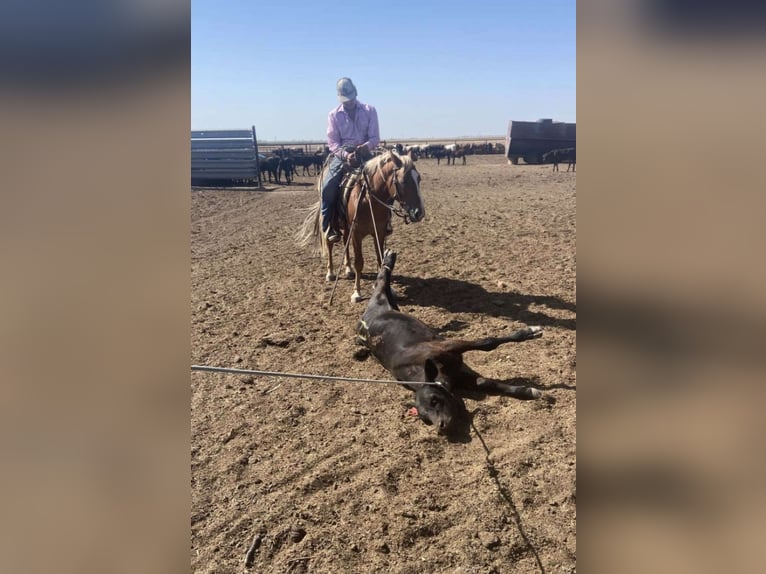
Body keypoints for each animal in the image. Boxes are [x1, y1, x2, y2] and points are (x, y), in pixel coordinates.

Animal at [298, 151, 426, 304]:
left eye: (419, 179)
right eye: (404, 181)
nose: (419, 213)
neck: (369, 200)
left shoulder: (379, 233)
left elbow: (380, 259)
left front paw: (384, 287)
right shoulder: (357, 234)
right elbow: (359, 262)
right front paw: (356, 293)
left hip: (348, 227)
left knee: (345, 242)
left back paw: (348, 269)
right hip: (330, 223)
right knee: (329, 244)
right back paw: (330, 273)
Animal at [356, 251, 544, 436]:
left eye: (434, 400)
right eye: (424, 418)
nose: (441, 427)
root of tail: (364, 322)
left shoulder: (448, 345)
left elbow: (487, 343)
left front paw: (530, 332)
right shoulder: (459, 374)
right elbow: (484, 382)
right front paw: (528, 391)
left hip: (380, 299)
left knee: (381, 281)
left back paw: (388, 259)